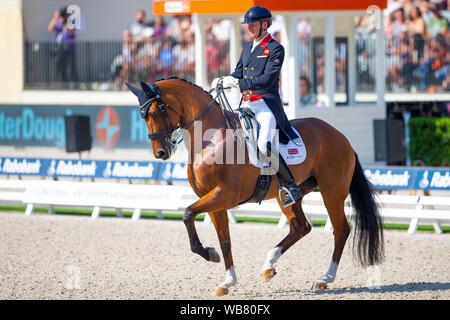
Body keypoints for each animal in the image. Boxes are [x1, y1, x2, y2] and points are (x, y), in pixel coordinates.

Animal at [125, 78, 384, 298]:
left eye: (155, 112)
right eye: (142, 116)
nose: (161, 153)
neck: (210, 141)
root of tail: (340, 136)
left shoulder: (224, 195)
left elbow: (188, 213)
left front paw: (208, 253)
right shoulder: (214, 201)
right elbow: (225, 240)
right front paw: (227, 282)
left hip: (332, 192)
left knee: (340, 230)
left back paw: (324, 278)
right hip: (287, 195)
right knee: (300, 226)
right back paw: (269, 266)